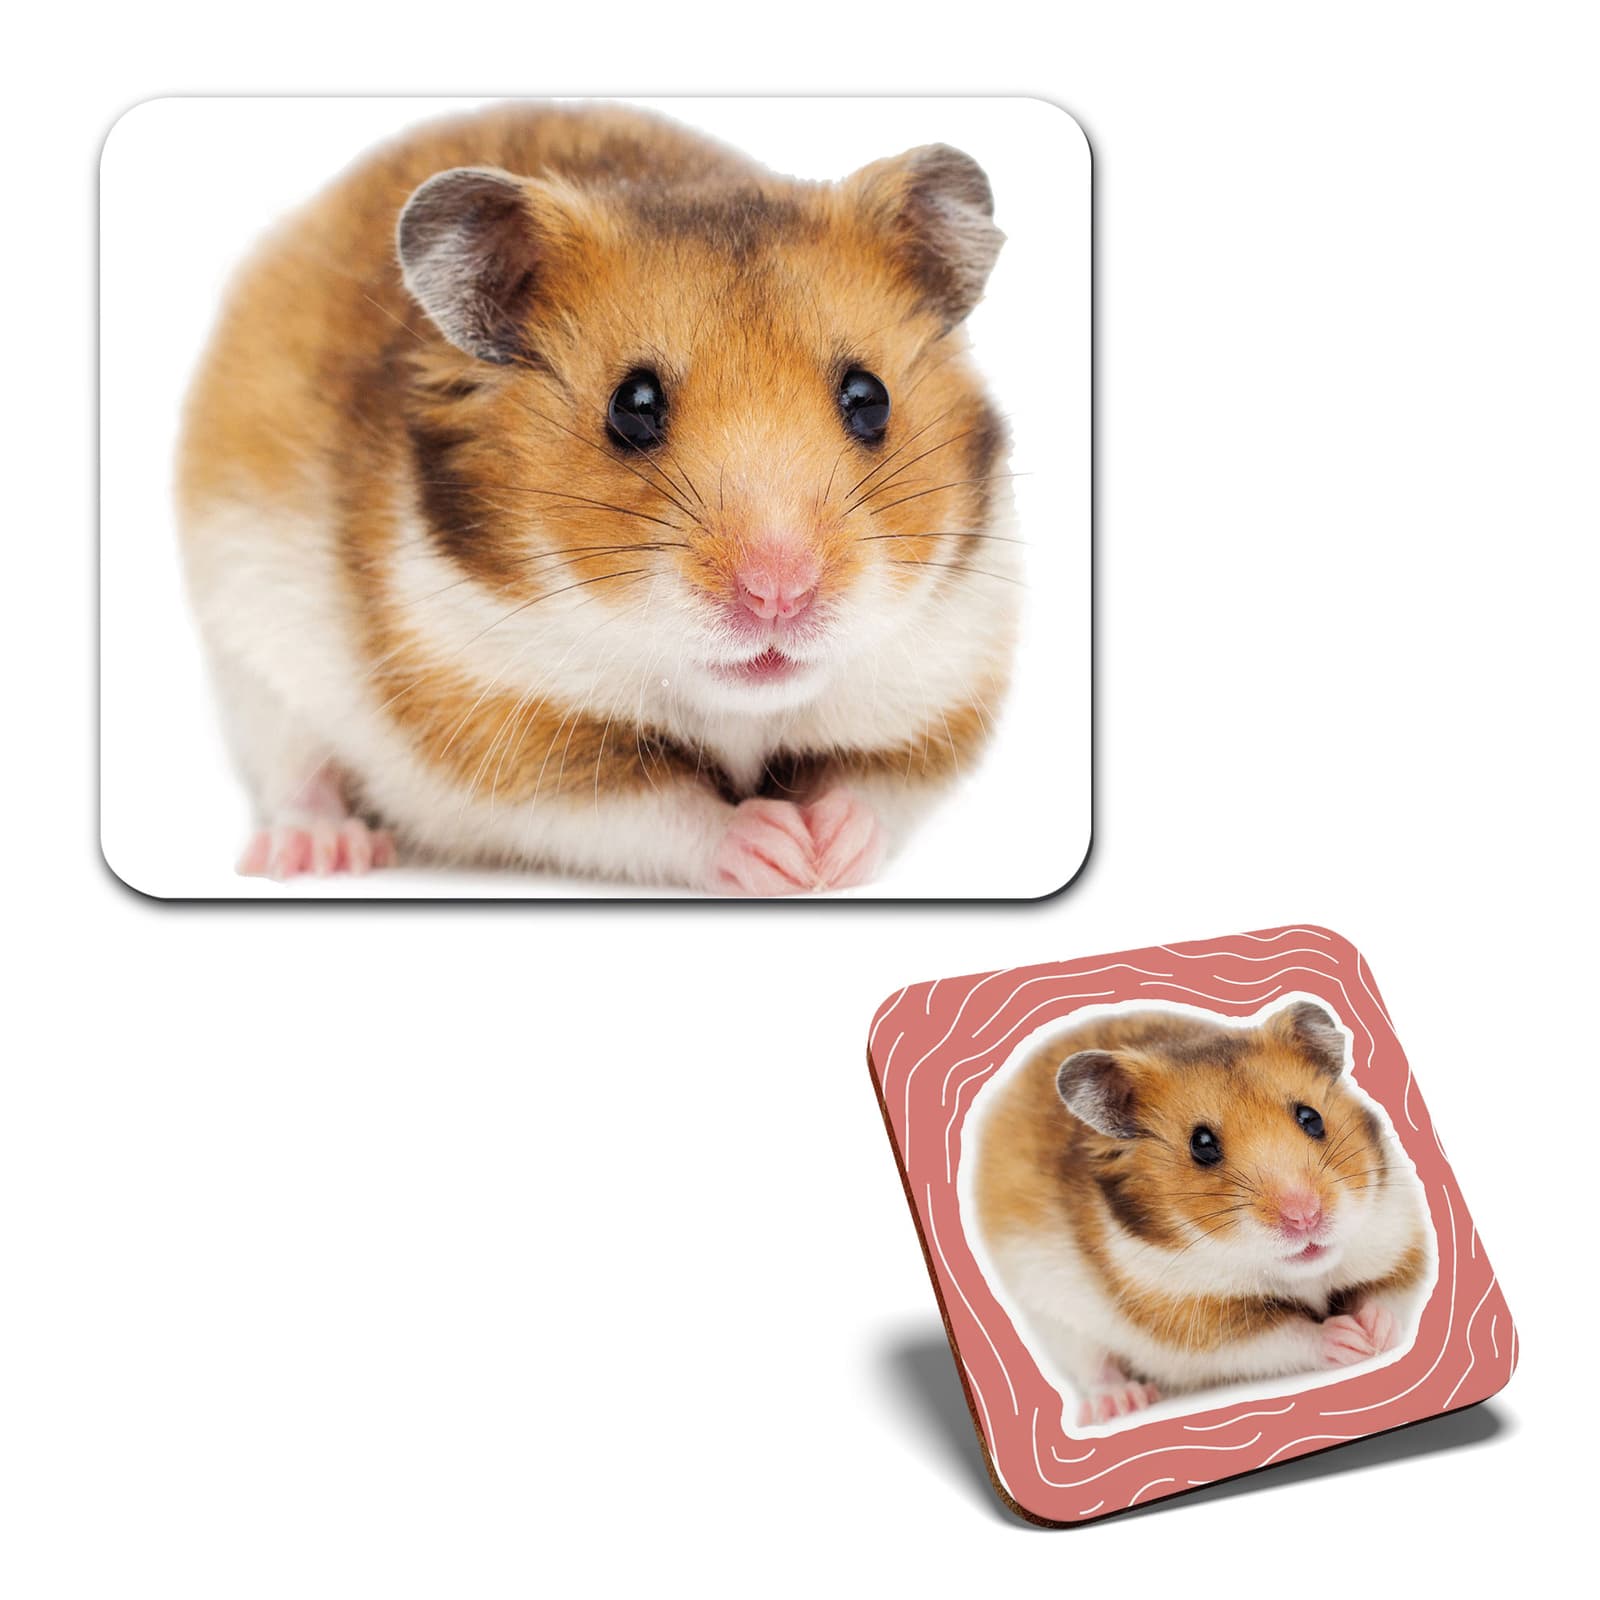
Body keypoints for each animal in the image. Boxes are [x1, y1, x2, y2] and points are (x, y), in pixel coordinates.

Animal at [176, 101, 1017, 891]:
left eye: (869, 399)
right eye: (633, 406)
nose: (779, 595)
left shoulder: (941, 693)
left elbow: (876, 790)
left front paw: (829, 851)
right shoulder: (504, 735)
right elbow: (661, 812)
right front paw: (775, 848)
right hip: (250, 653)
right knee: (295, 769)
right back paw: (322, 851)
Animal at [972, 1001, 1431, 1427]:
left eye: (1311, 1117)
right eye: (1202, 1145)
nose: (1305, 1217)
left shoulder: (1397, 1238)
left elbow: (1389, 1295)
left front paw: (1376, 1332)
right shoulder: (1197, 1321)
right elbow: (1287, 1335)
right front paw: (1347, 1339)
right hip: (1056, 1317)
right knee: (1094, 1365)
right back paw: (1123, 1402)